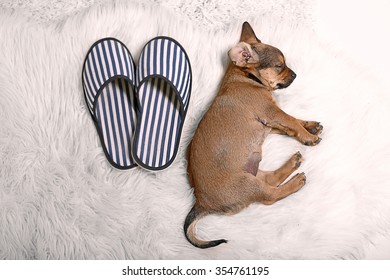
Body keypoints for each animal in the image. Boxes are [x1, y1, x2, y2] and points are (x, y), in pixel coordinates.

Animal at [184, 22, 322, 249]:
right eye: (279, 65)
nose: (295, 75)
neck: (245, 78)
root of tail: (200, 203)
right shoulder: (272, 114)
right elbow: (291, 121)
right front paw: (309, 136)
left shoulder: (271, 124)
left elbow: (293, 123)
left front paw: (310, 126)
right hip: (248, 184)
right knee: (271, 195)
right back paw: (296, 181)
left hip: (252, 173)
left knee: (271, 178)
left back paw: (293, 163)